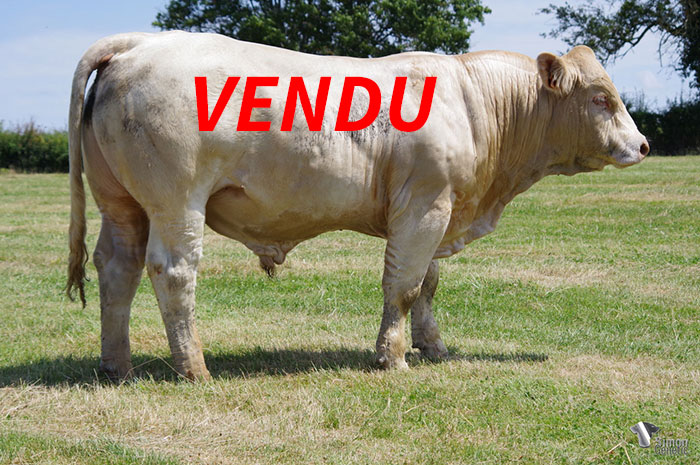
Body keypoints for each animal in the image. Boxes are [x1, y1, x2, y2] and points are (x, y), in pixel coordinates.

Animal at [66, 31, 648, 381]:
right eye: (600, 98)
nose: (643, 145)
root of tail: (140, 42)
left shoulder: (437, 208)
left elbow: (428, 284)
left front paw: (431, 345)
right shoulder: (424, 205)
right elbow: (405, 285)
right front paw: (392, 356)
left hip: (121, 205)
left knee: (117, 268)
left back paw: (116, 365)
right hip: (176, 202)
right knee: (173, 272)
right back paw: (194, 368)